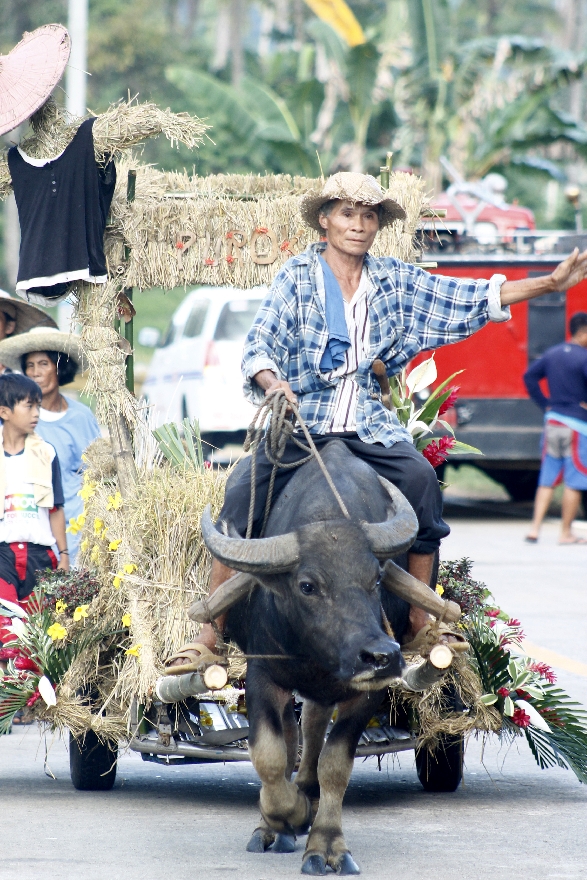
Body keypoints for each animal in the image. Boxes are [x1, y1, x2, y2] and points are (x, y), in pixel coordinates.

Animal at [203, 444, 422, 876]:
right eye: (307, 585)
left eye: (376, 578)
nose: (381, 657)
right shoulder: (263, 676)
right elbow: (269, 757)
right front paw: (287, 815)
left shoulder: (366, 692)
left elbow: (334, 765)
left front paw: (326, 843)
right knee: (292, 736)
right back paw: (277, 824)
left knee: (314, 725)